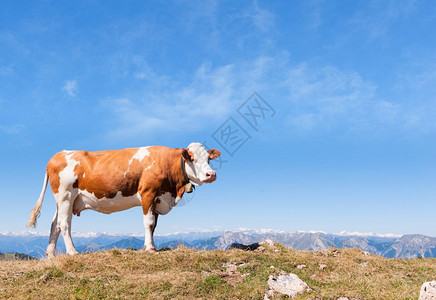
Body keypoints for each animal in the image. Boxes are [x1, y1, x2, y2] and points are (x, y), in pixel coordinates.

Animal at [26, 143, 221, 258]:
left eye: (209, 158)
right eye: (193, 159)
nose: (211, 174)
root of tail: (58, 154)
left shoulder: (158, 199)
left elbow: (154, 226)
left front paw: (149, 245)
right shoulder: (148, 193)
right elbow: (149, 222)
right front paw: (150, 248)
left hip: (65, 199)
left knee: (55, 224)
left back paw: (51, 254)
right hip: (66, 195)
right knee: (64, 223)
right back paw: (73, 251)